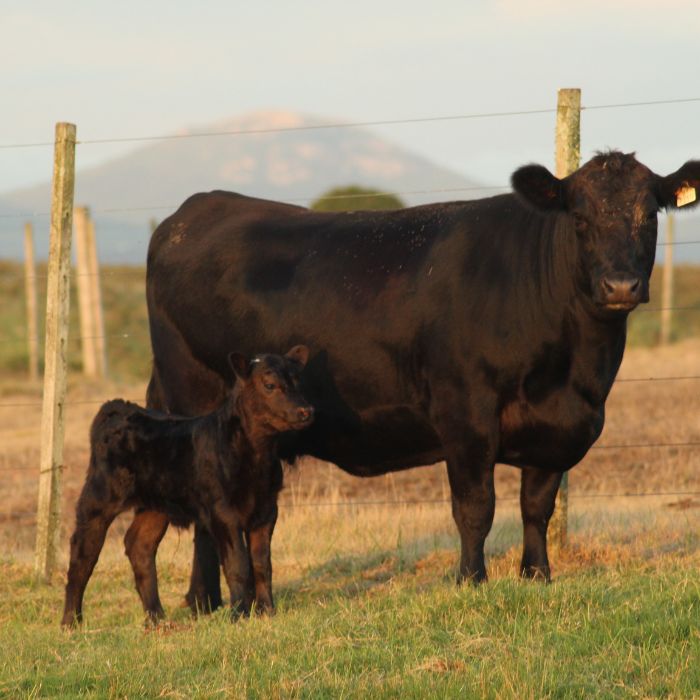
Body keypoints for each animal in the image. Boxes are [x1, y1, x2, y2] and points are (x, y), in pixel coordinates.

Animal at [61, 348, 314, 628]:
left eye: (297, 380)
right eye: (269, 385)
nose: (306, 410)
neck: (256, 457)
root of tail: (117, 407)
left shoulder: (267, 509)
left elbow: (261, 564)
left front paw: (267, 612)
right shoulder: (222, 512)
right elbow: (237, 565)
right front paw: (239, 615)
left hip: (156, 504)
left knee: (139, 544)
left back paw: (157, 619)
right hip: (99, 496)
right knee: (83, 553)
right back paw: (71, 622)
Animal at [145, 150, 696, 608]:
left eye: (650, 216)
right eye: (579, 218)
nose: (620, 286)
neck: (573, 369)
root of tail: (194, 210)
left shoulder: (557, 427)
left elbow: (536, 507)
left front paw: (537, 575)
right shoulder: (466, 413)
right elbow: (475, 507)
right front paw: (471, 580)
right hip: (194, 403)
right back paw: (202, 600)